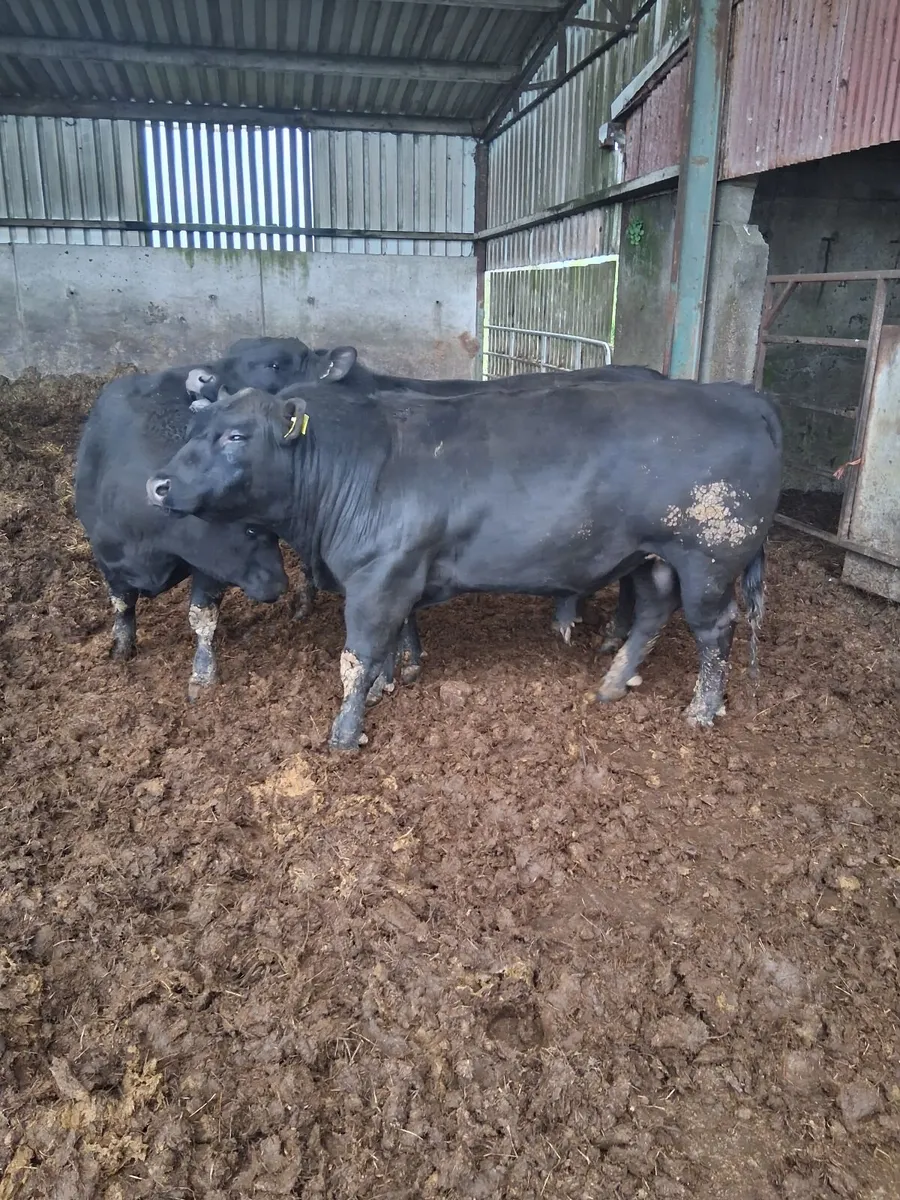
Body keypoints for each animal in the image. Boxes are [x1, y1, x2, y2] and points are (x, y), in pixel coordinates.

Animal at [75, 366, 289, 696]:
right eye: (250, 530)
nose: (279, 585)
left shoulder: (209, 568)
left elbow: (202, 618)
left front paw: (203, 675)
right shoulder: (107, 559)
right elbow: (122, 604)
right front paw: (120, 648)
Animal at [147, 374, 782, 750]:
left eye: (235, 435)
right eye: (192, 427)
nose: (159, 484)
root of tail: (740, 394)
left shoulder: (378, 579)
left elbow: (357, 656)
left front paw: (346, 730)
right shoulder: (395, 576)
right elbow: (393, 642)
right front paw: (391, 682)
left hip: (708, 558)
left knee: (715, 631)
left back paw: (702, 709)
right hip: (651, 556)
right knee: (651, 612)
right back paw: (613, 682)